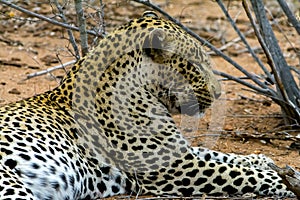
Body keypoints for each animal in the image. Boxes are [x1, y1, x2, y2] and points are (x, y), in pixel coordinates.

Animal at [0, 11, 296, 200]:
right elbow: (240, 173)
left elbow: (222, 155)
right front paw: (288, 181)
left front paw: (263, 160)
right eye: (195, 64)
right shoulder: (173, 167)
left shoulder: (176, 151)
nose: (219, 92)